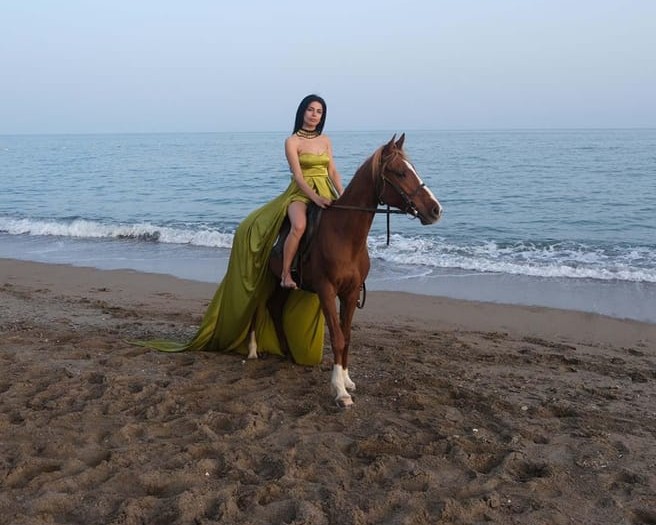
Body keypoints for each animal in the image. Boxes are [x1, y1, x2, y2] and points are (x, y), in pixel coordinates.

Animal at [248, 134, 442, 408]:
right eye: (400, 172)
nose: (435, 210)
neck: (344, 235)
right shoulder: (327, 291)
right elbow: (338, 337)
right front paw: (340, 391)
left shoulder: (350, 293)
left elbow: (347, 336)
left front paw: (347, 380)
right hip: (268, 279)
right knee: (257, 307)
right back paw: (253, 350)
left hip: (284, 285)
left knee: (274, 308)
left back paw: (287, 353)